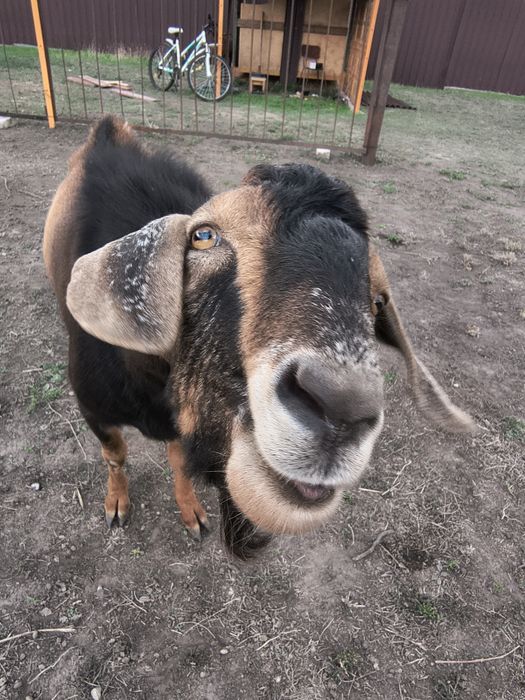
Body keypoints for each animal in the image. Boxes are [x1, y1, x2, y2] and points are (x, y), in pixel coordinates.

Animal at [43, 116, 473, 558]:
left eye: (376, 300)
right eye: (203, 236)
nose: (342, 407)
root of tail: (108, 130)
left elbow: (178, 460)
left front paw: (191, 511)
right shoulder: (94, 410)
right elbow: (115, 454)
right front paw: (117, 504)